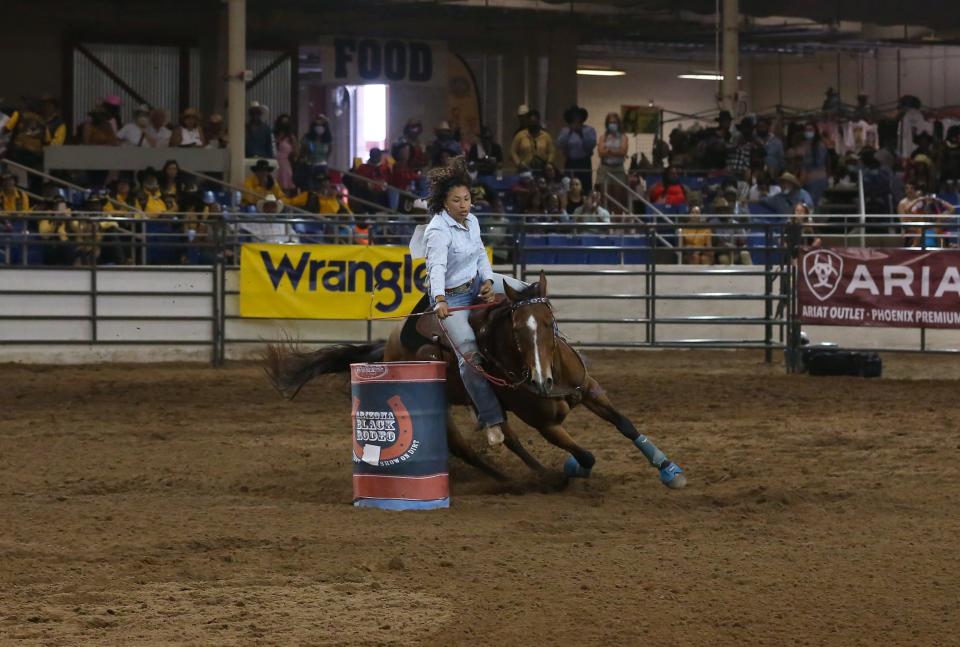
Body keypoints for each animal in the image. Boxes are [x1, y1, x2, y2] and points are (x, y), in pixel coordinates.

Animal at [262, 270, 684, 488]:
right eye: (517, 331)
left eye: (550, 322)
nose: (542, 382)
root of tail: (389, 346)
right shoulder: (545, 422)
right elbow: (586, 454)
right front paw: (571, 469)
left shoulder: (590, 389)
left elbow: (625, 424)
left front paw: (669, 470)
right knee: (470, 449)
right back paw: (520, 480)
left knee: (506, 438)